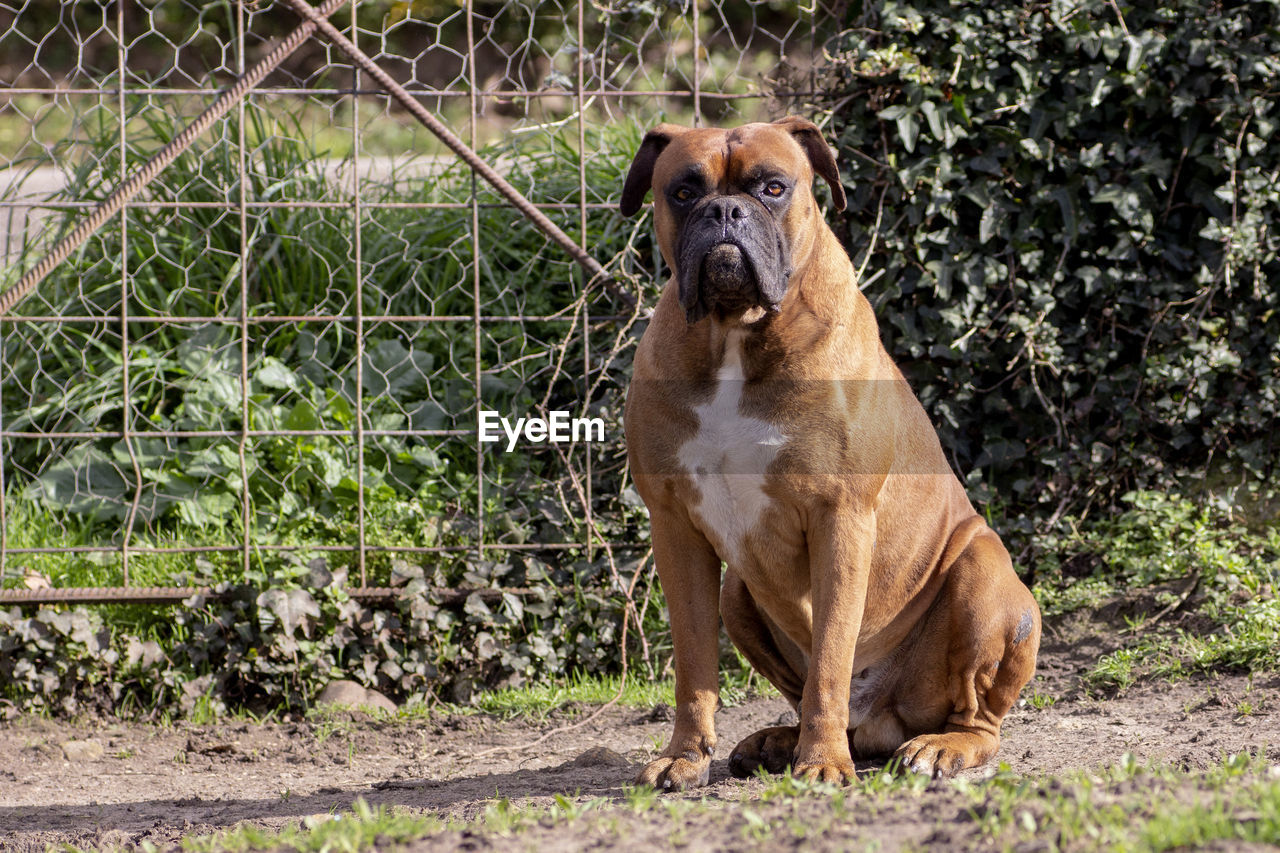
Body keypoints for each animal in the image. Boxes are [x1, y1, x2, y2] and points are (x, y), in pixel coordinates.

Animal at [619, 116, 1039, 788]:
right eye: (683, 192)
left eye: (773, 187)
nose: (726, 211)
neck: (735, 337)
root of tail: (880, 721)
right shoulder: (675, 525)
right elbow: (694, 665)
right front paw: (685, 757)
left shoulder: (840, 518)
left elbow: (830, 660)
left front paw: (821, 763)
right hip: (737, 592)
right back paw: (777, 741)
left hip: (984, 575)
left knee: (978, 718)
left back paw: (938, 747)